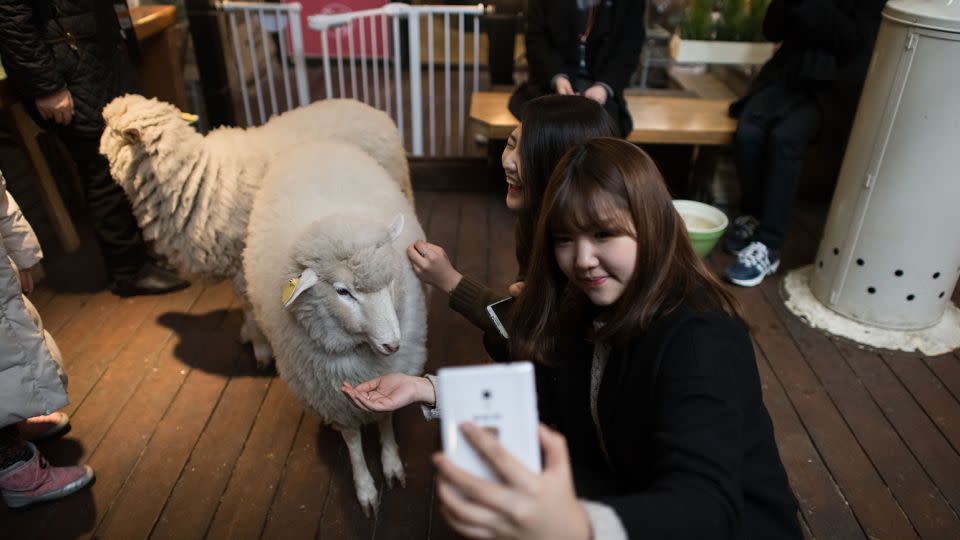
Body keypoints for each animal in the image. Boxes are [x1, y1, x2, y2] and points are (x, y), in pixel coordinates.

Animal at [101, 96, 412, 368]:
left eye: (111, 129)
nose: (99, 148)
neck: (198, 177)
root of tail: (378, 114)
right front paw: (248, 334)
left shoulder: (242, 261)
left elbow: (249, 304)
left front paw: (260, 346)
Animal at [244, 139, 428, 516]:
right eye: (343, 292)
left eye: (391, 280)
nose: (392, 344)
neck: (361, 354)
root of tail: (316, 143)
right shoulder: (331, 396)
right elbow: (353, 440)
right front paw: (366, 488)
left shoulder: (392, 373)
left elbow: (385, 420)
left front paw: (391, 464)